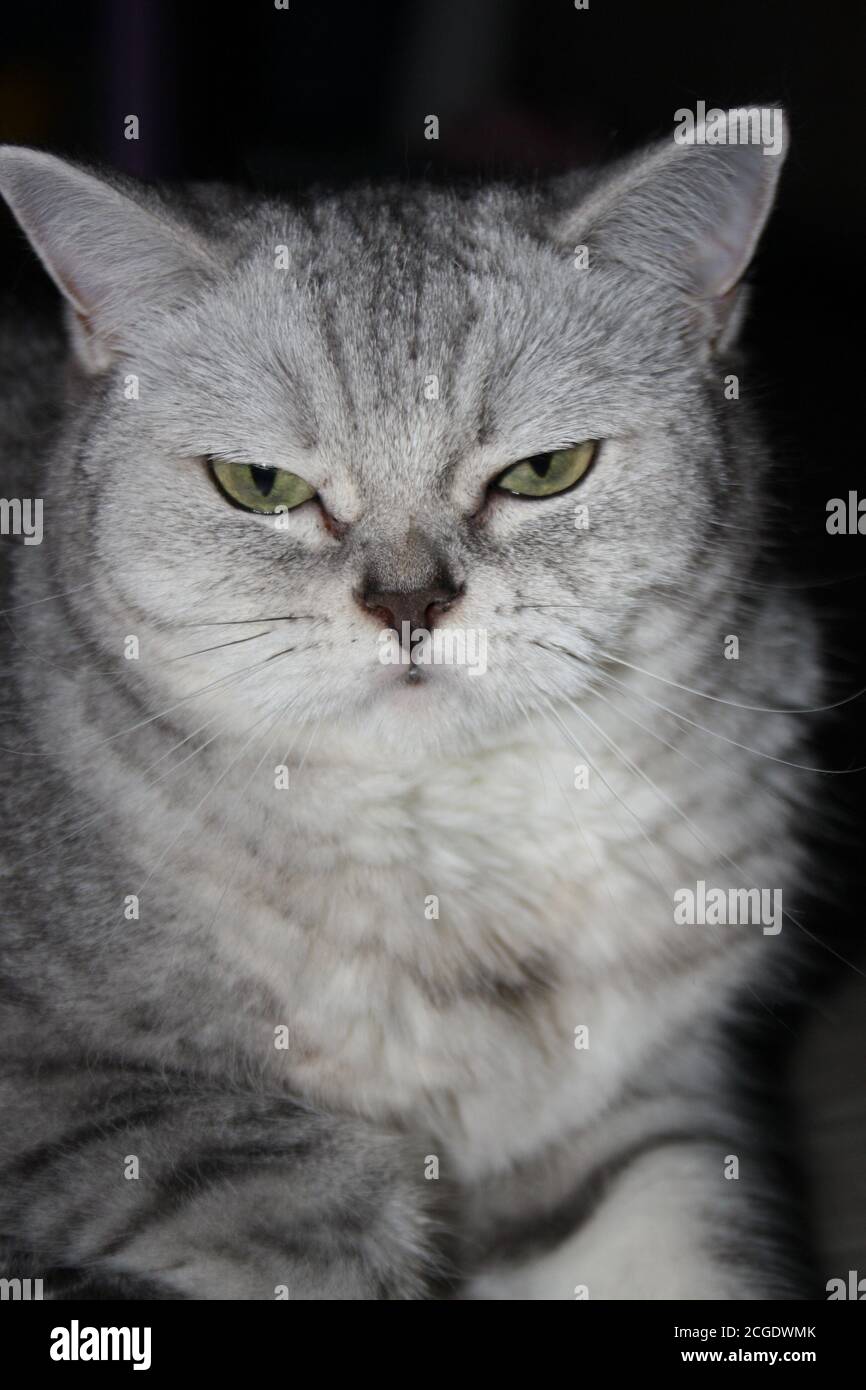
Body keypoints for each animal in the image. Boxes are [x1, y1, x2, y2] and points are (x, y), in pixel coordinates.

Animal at [0, 111, 828, 1301]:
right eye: (260, 485)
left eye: (544, 469)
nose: (406, 603)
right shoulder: (73, 1096)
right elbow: (310, 1191)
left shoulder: (646, 1115)